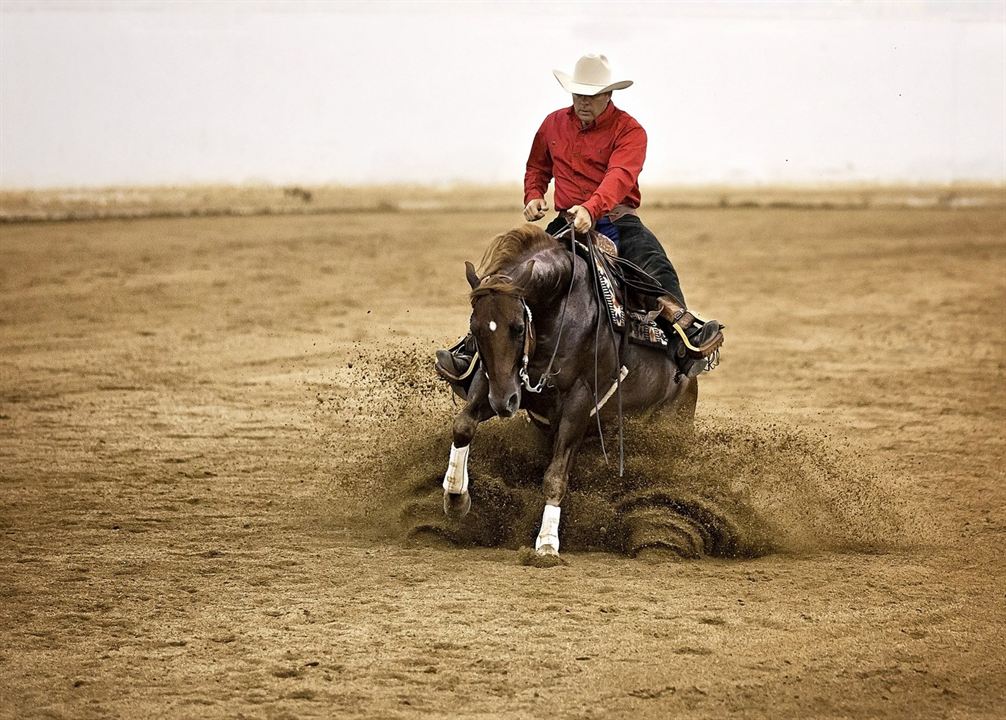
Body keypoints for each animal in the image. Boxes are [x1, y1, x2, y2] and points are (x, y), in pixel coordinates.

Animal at [440, 223, 700, 555]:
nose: (503, 403)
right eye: (475, 329)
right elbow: (463, 426)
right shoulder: (493, 382)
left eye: (518, 327)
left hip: (666, 428)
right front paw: (455, 497)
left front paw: (547, 543)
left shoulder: (579, 402)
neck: (557, 312)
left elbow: (555, 475)